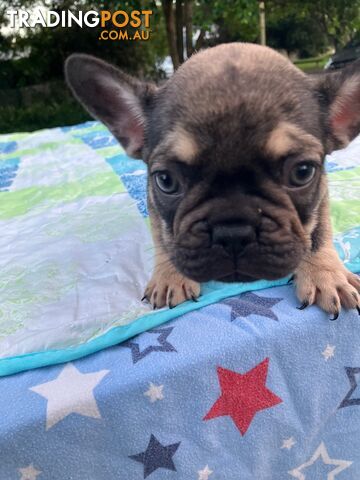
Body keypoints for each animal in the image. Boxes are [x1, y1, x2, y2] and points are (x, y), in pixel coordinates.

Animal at [66, 42, 360, 318]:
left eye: (302, 172)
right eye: (166, 181)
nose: (233, 233)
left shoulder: (321, 194)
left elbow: (319, 232)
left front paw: (324, 273)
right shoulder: (152, 198)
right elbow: (164, 236)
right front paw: (170, 275)